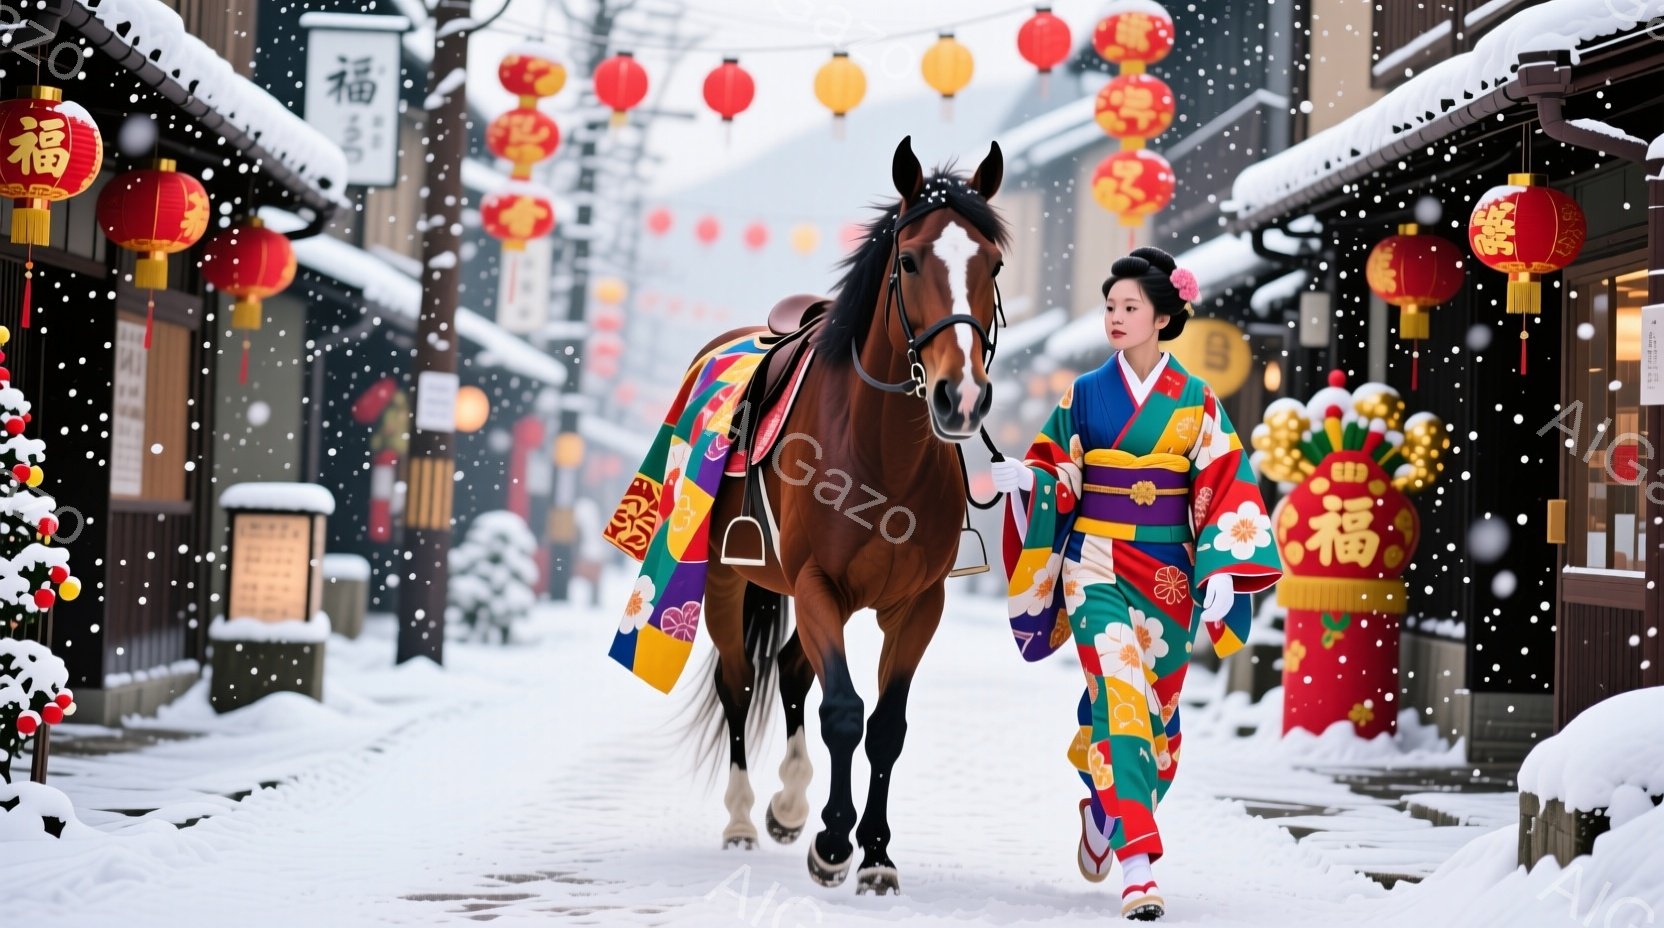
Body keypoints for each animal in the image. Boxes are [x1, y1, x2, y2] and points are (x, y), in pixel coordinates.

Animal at [682, 136, 1007, 895]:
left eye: (994, 264)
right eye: (909, 260)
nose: (961, 396)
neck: (880, 449)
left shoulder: (918, 604)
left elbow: (886, 724)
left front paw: (877, 852)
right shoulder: (815, 586)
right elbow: (843, 712)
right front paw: (833, 842)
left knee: (792, 669)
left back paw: (788, 804)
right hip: (726, 580)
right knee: (739, 682)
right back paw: (744, 817)